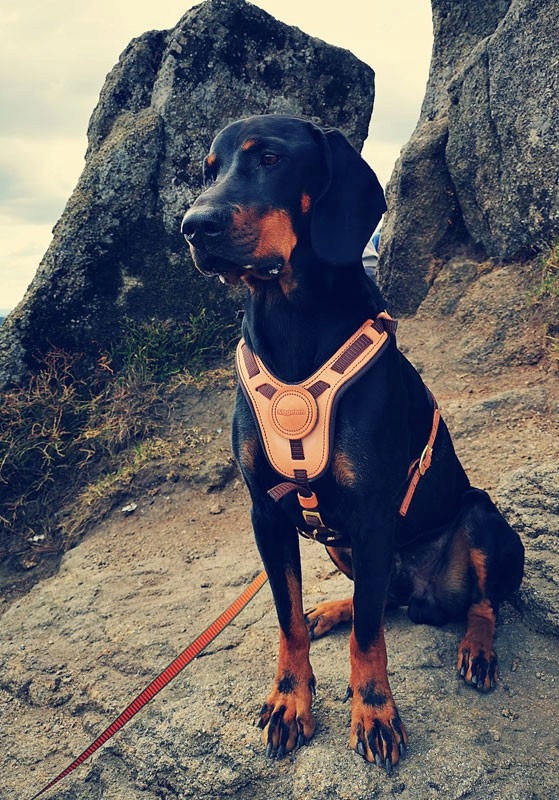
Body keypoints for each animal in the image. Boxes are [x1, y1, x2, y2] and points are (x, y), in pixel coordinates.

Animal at [181, 114, 524, 771]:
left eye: (270, 158)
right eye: (208, 170)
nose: (193, 225)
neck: (292, 320)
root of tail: (424, 593)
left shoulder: (372, 514)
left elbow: (369, 639)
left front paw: (375, 712)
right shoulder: (267, 513)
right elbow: (288, 617)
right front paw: (290, 699)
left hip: (481, 517)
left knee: (479, 603)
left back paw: (476, 648)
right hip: (344, 547)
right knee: (381, 599)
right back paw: (330, 610)